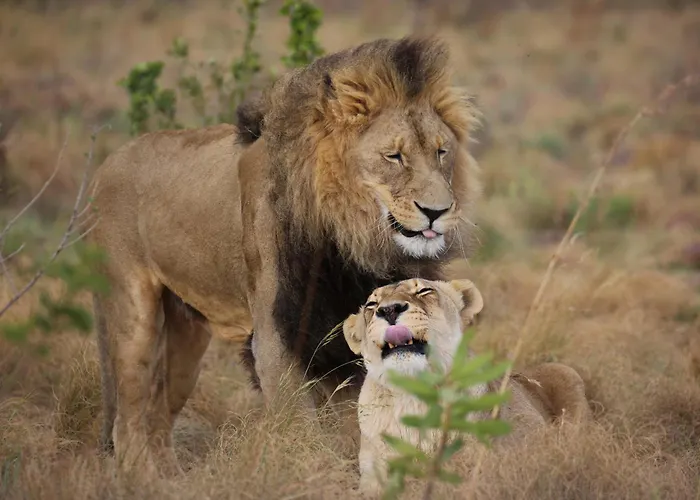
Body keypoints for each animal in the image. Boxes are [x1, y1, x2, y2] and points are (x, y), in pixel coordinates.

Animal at [87, 36, 483, 476]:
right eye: (394, 156)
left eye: (442, 152)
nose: (437, 211)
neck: (350, 241)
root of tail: (108, 162)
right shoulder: (277, 331)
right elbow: (300, 425)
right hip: (132, 314)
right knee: (127, 416)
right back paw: (140, 477)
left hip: (185, 339)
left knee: (158, 411)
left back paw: (171, 477)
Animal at [342, 278, 591, 497]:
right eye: (372, 305)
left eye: (424, 291)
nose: (389, 310)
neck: (415, 395)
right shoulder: (373, 474)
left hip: (565, 374)